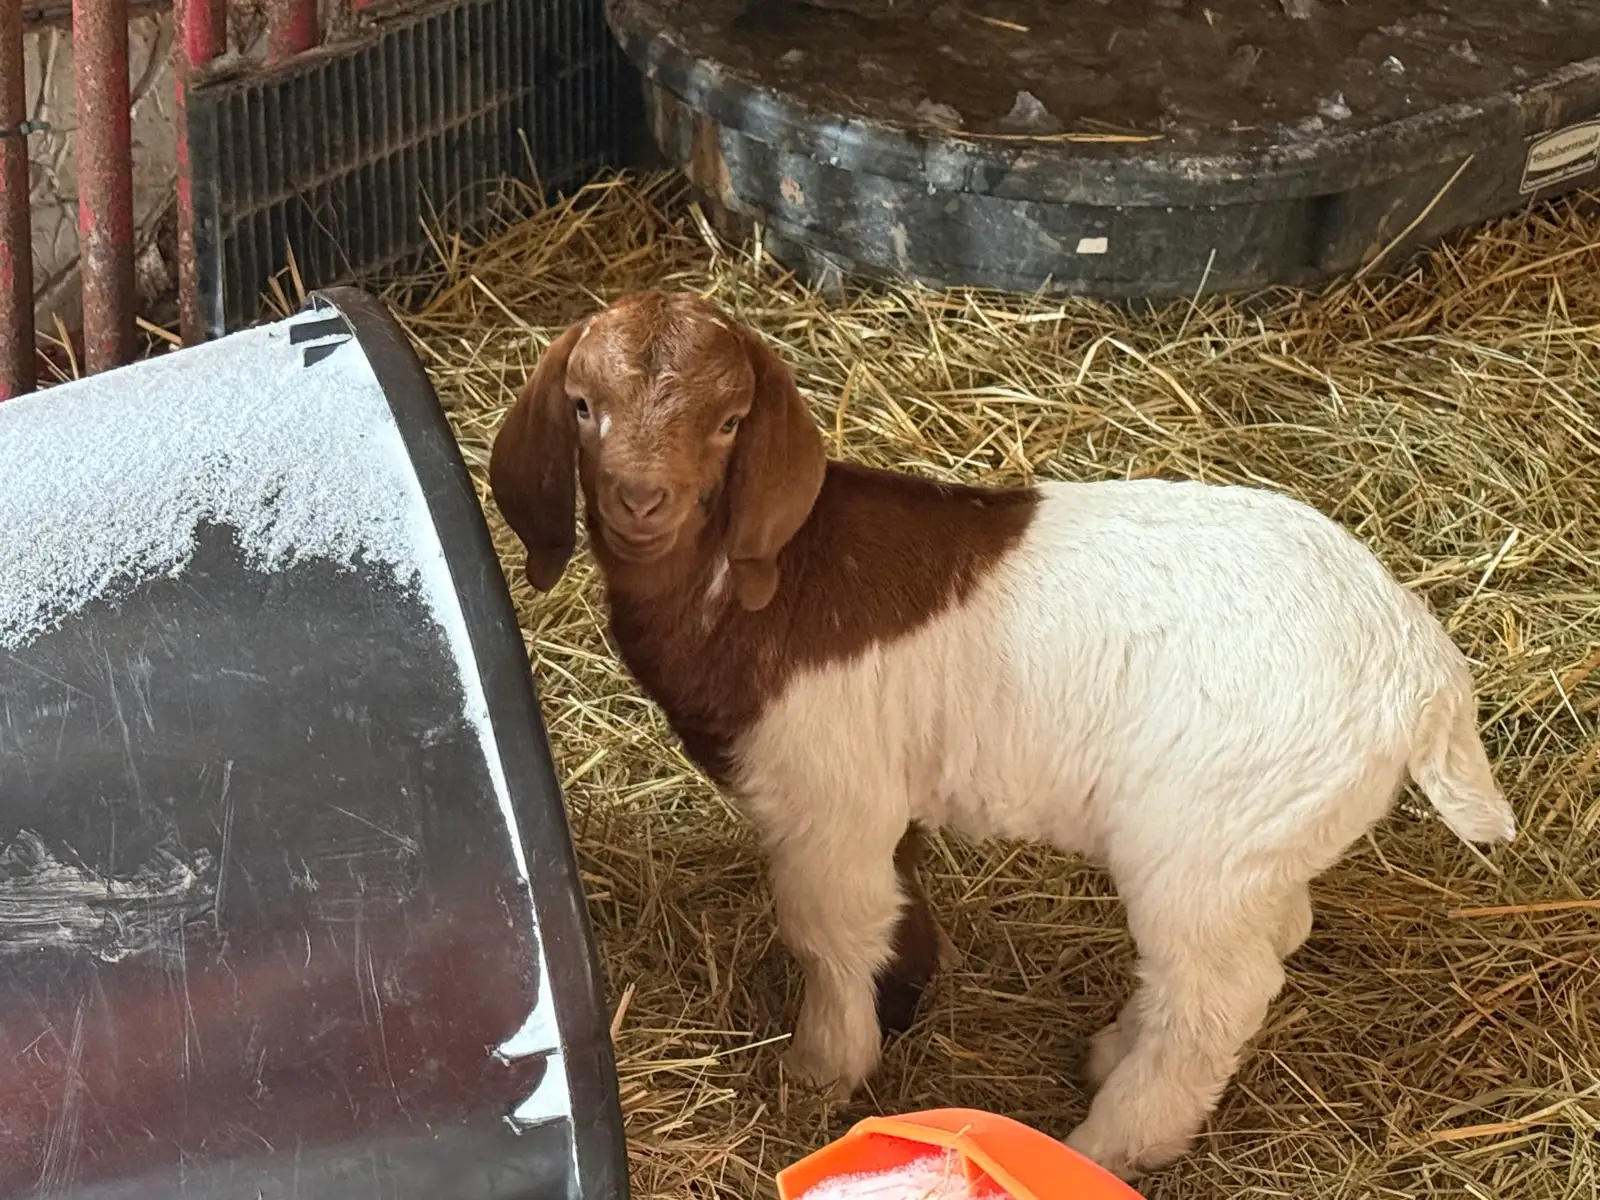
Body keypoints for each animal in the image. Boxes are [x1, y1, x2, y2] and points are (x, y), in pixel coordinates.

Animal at [487, 289, 1516, 1179]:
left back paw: (1112, 1140)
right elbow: (895, 899)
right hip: (1256, 840)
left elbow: (830, 930)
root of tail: (1419, 670)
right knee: (1264, 938)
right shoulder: (882, 794)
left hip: (1204, 842)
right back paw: (1114, 1051)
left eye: (731, 419)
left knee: (1214, 1000)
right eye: (582, 404)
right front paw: (905, 994)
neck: (762, 584)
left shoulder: (826, 801)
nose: (639, 500)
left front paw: (821, 1071)